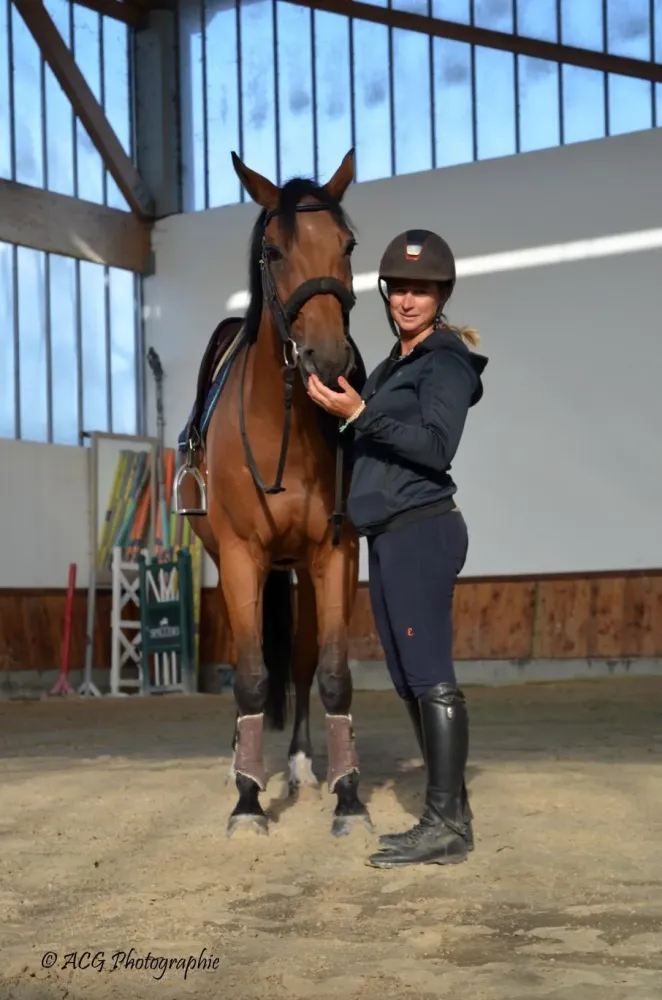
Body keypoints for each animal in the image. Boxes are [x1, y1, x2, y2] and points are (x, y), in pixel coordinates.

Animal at [177, 148, 374, 839]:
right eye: (275, 250)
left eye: (348, 244)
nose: (330, 360)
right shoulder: (241, 557)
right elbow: (252, 676)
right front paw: (246, 800)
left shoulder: (334, 553)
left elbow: (333, 673)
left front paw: (349, 797)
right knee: (258, 662)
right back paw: (246, 764)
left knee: (305, 660)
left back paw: (299, 767)